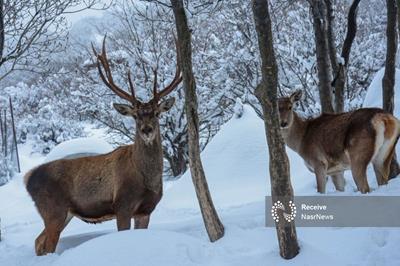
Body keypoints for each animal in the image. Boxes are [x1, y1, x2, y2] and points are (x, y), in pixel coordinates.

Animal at [23, 37, 183, 256]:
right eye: (135, 116)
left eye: (157, 113)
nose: (147, 130)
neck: (146, 179)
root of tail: (27, 178)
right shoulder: (122, 205)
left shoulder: (145, 210)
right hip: (53, 209)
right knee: (46, 245)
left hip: (63, 213)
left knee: (38, 241)